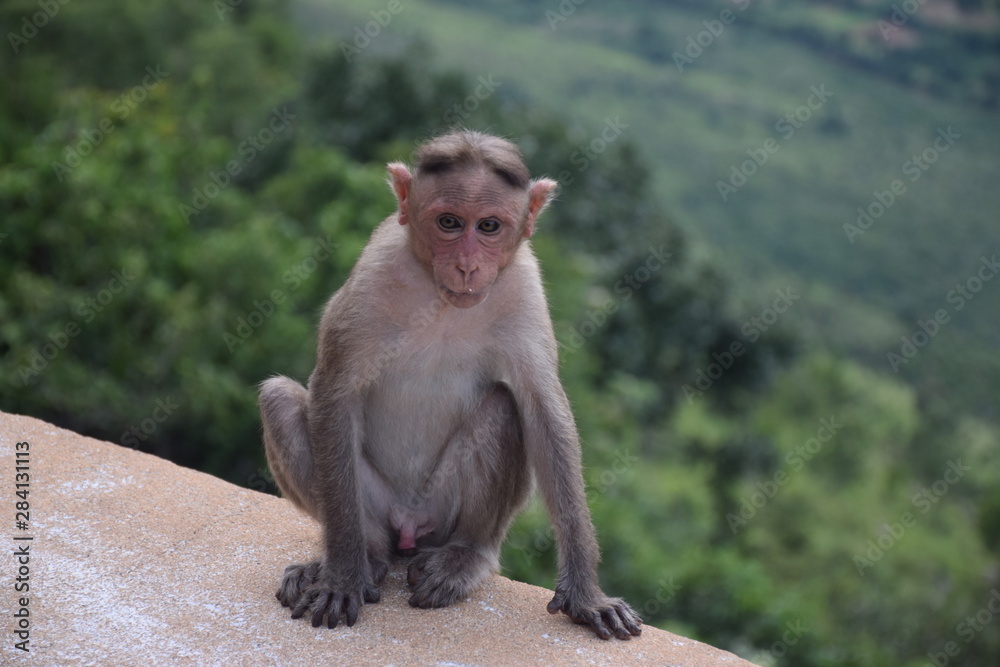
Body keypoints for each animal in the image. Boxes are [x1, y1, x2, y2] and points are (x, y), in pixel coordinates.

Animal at [259, 130, 642, 640]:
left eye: (489, 226)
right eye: (448, 222)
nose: (465, 265)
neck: (442, 301)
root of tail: (408, 528)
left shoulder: (524, 285)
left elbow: (542, 410)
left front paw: (586, 594)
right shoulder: (373, 273)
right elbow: (335, 393)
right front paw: (341, 576)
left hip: (440, 512)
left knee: (503, 407)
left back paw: (465, 557)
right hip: (376, 504)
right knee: (280, 400)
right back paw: (366, 557)